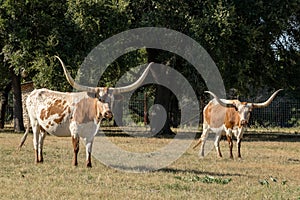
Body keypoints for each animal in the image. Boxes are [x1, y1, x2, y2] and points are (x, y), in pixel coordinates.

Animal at [18, 56, 154, 167]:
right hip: (35, 122)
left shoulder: (92, 132)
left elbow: (89, 148)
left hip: (43, 126)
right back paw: (36, 160)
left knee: (41, 140)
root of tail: (33, 92)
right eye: (99, 98)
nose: (108, 113)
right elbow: (76, 147)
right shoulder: (74, 130)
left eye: (112, 99)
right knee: (36, 141)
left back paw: (41, 160)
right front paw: (75, 164)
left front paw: (89, 164)